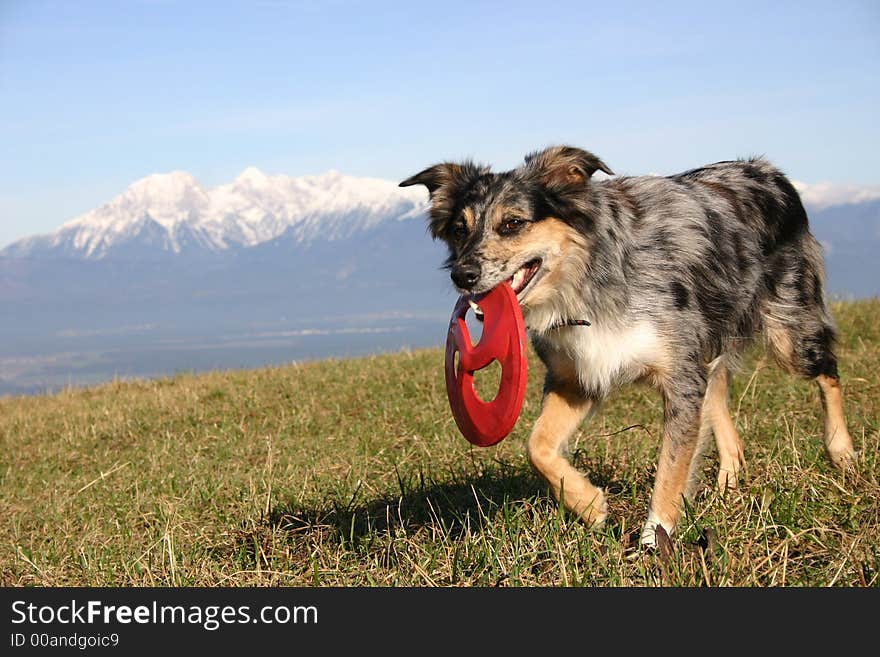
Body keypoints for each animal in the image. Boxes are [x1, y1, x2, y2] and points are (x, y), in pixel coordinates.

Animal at [402, 145, 856, 548]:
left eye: (512, 224)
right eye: (459, 229)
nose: (462, 275)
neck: (584, 283)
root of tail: (766, 169)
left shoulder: (679, 375)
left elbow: (671, 467)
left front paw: (656, 539)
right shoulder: (577, 376)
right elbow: (537, 447)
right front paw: (589, 504)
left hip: (788, 330)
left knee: (828, 372)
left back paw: (842, 453)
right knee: (719, 392)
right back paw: (729, 478)